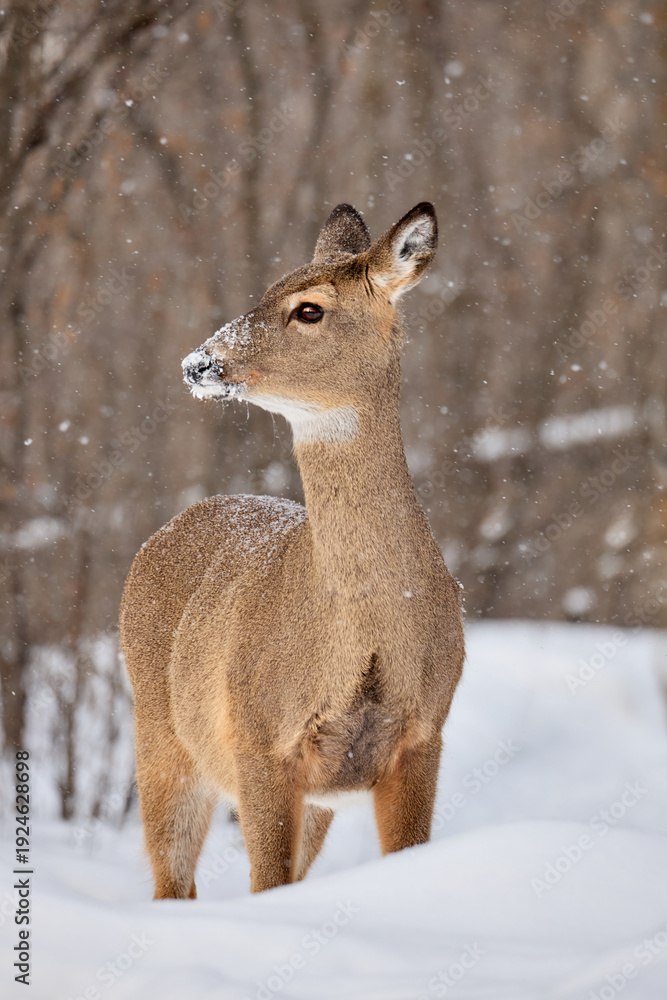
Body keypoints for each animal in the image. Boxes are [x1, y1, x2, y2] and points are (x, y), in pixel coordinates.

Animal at [119, 201, 464, 897]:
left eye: (309, 309)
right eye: (266, 288)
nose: (199, 362)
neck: (365, 632)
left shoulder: (424, 733)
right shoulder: (258, 738)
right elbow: (266, 882)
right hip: (162, 736)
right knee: (173, 879)